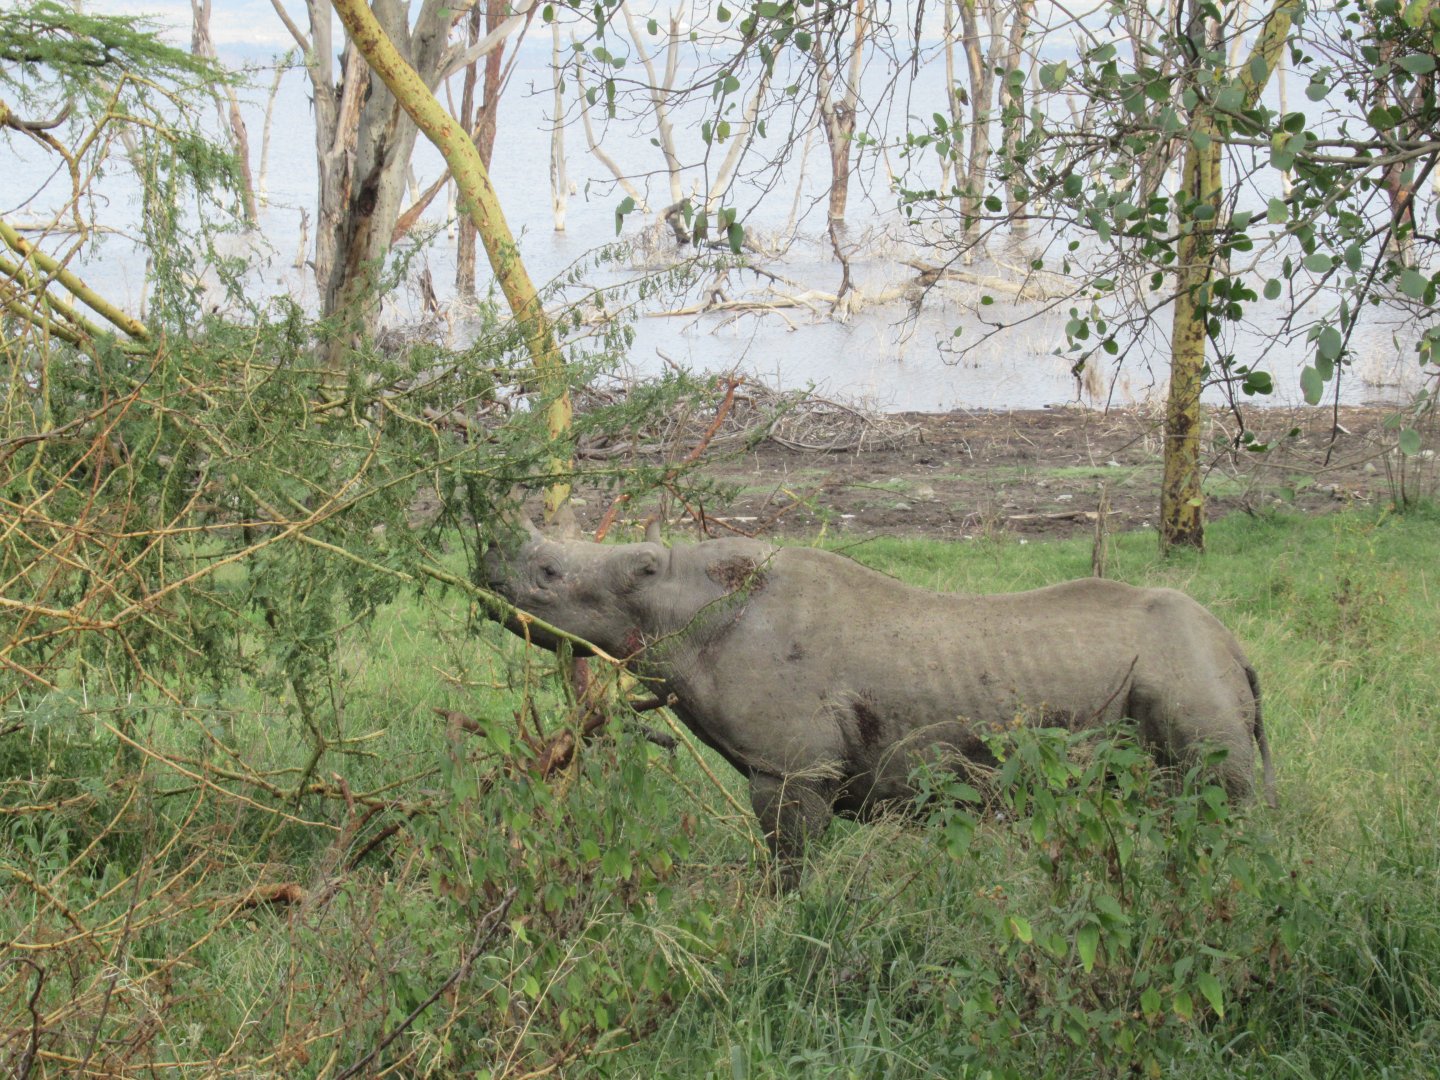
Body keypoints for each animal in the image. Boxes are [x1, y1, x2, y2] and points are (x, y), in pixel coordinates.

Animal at [485, 520, 1274, 886]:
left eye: (546, 574)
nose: (487, 564)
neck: (677, 598)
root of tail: (1237, 649)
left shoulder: (791, 767)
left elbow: (790, 864)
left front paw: (781, 920)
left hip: (1189, 678)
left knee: (1218, 799)